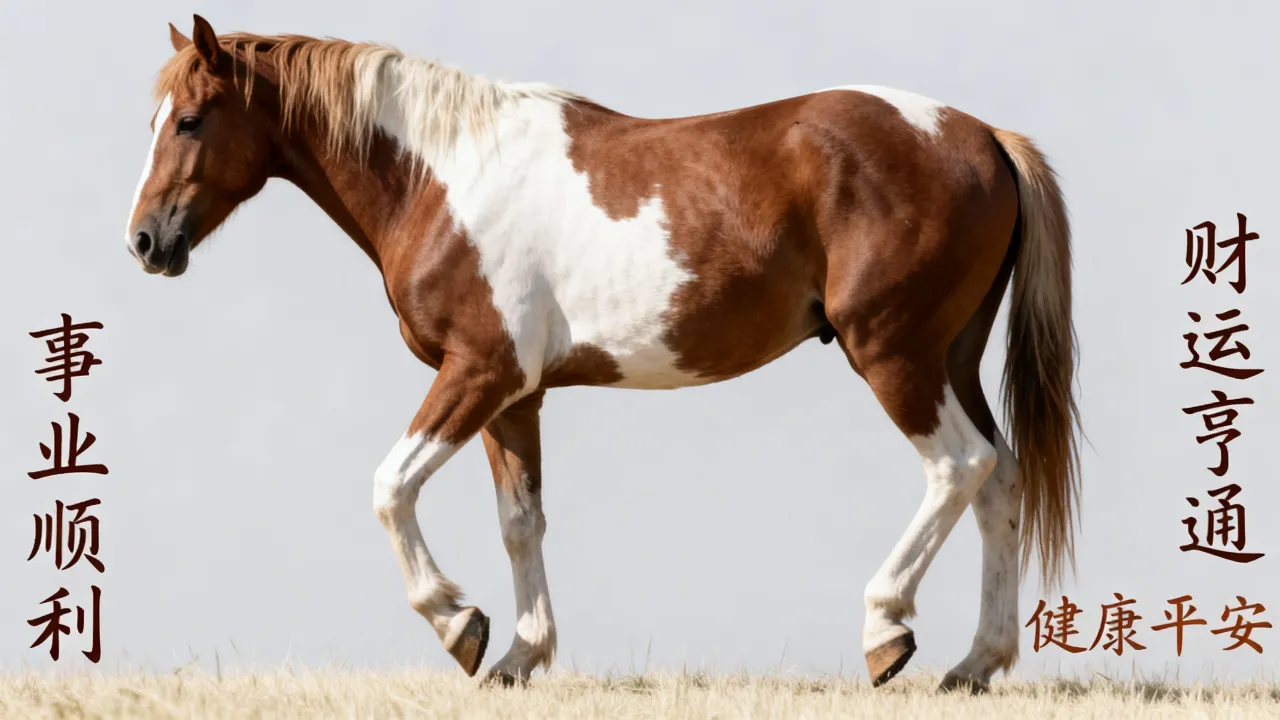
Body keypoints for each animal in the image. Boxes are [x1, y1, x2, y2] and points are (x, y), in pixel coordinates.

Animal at [125, 14, 1081, 692]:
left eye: (191, 120)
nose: (144, 241)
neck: (443, 178)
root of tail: (982, 137)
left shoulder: (478, 373)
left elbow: (390, 488)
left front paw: (457, 624)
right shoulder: (516, 397)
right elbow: (521, 521)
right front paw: (517, 655)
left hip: (893, 355)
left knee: (959, 467)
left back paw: (889, 632)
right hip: (950, 358)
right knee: (1000, 480)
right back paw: (975, 665)